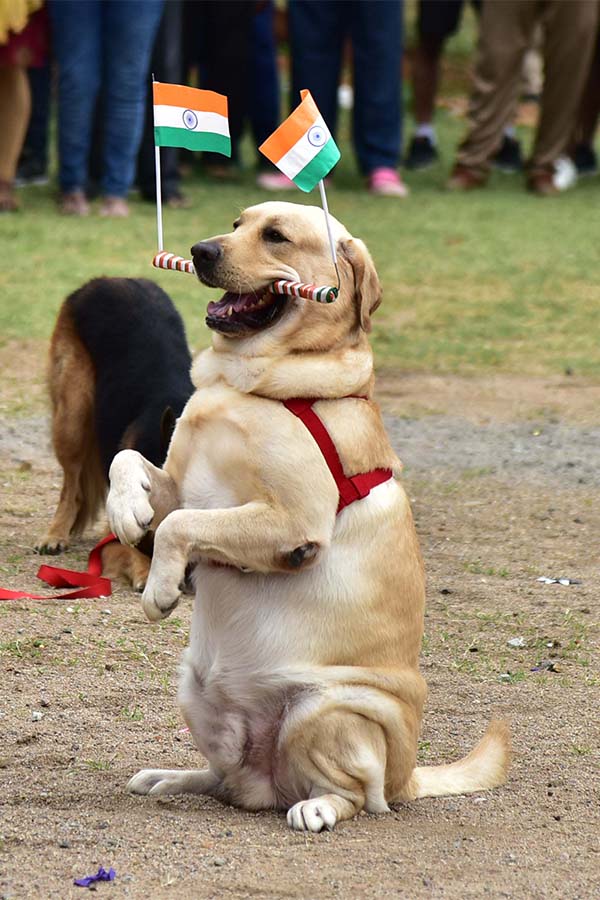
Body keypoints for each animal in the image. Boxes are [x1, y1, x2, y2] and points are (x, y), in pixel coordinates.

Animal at [105, 200, 508, 832]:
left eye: (276, 236)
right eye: (238, 223)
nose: (199, 250)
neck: (246, 386)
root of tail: (409, 776)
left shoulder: (292, 520)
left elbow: (179, 526)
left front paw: (161, 589)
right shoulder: (180, 484)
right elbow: (129, 466)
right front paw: (126, 509)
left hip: (328, 709)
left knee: (358, 796)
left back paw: (316, 807)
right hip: (195, 692)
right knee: (229, 782)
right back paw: (170, 777)